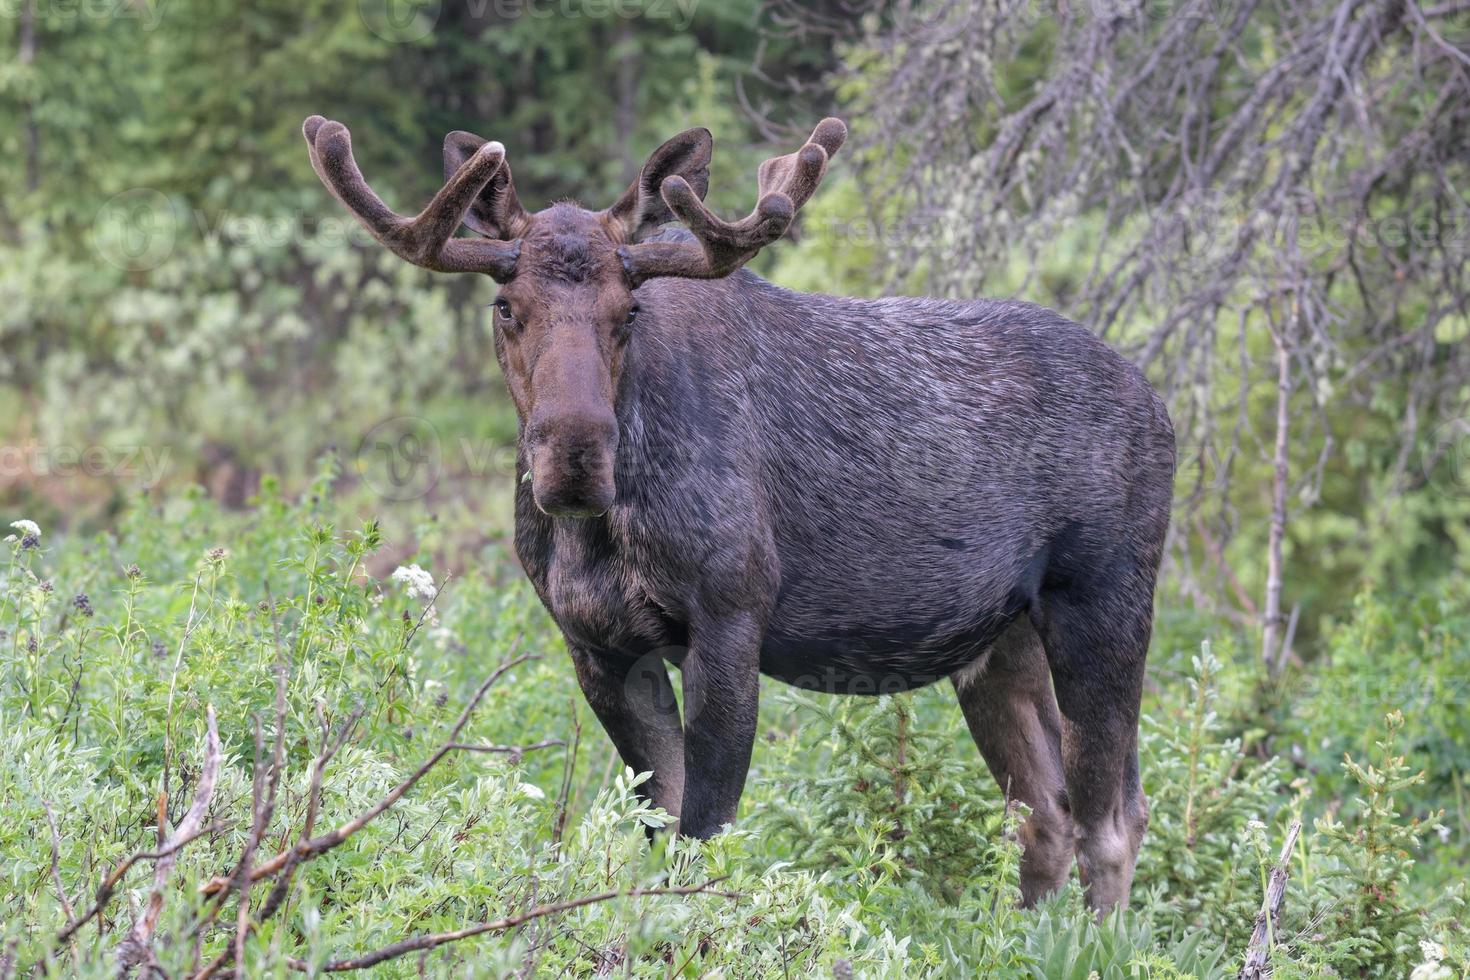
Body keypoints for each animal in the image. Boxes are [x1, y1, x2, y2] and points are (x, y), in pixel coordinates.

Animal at [304, 115, 1176, 910]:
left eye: (630, 310)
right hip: (999, 643)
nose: (575, 460)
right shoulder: (597, 644)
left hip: (1104, 599)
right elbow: (659, 825)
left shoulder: (729, 619)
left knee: (1113, 817)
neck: (599, 538)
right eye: (506, 306)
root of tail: (1159, 406)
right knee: (1047, 813)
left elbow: (704, 837)